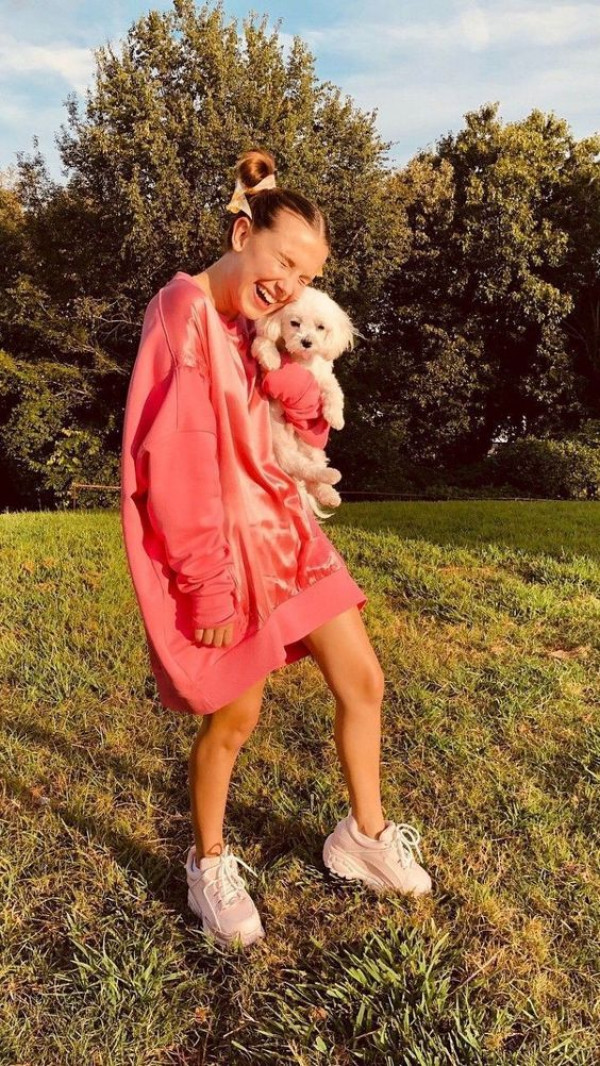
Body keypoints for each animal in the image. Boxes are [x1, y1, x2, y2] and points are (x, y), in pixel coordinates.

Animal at [252, 287, 355, 520]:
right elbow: (263, 342)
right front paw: (273, 360)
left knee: (312, 476)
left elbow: (335, 392)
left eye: (321, 327)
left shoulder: (324, 377)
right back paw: (331, 478)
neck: (302, 361)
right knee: (304, 469)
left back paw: (329, 492)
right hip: (284, 449)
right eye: (294, 323)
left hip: (313, 449)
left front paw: (336, 418)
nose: (307, 342)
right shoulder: (263, 344)